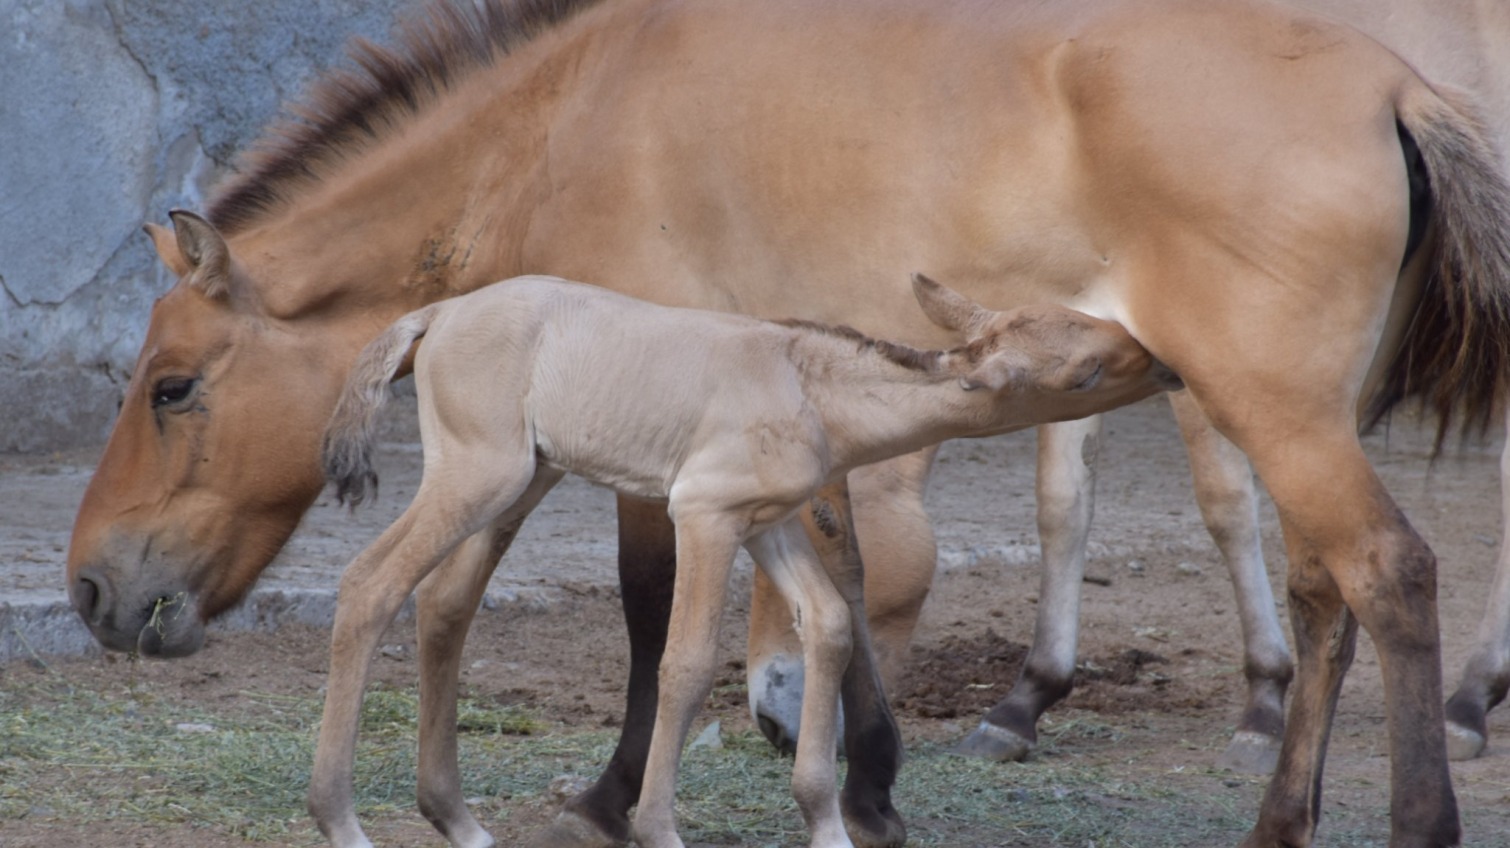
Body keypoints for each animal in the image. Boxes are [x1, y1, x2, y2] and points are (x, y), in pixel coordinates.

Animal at [312, 271, 1171, 844]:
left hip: (526, 477)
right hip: (480, 473)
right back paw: (340, 819)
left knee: (442, 605)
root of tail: (434, 314)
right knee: (369, 583)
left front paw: (829, 822)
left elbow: (828, 625)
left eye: (1079, 318)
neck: (808, 389)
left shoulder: (771, 522)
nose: (1165, 360)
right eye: (1086, 371)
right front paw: (657, 827)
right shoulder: (704, 513)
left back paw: (456, 820)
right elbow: (687, 663)